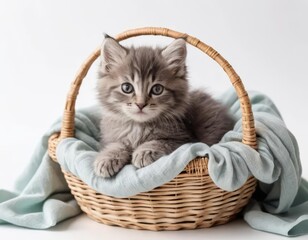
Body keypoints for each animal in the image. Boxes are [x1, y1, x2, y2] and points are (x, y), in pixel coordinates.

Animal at [94, 36, 233, 178]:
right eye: (127, 88)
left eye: (157, 89)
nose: (141, 104)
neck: (139, 127)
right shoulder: (110, 137)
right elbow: (116, 144)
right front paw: (107, 158)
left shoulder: (186, 141)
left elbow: (160, 141)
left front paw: (145, 151)